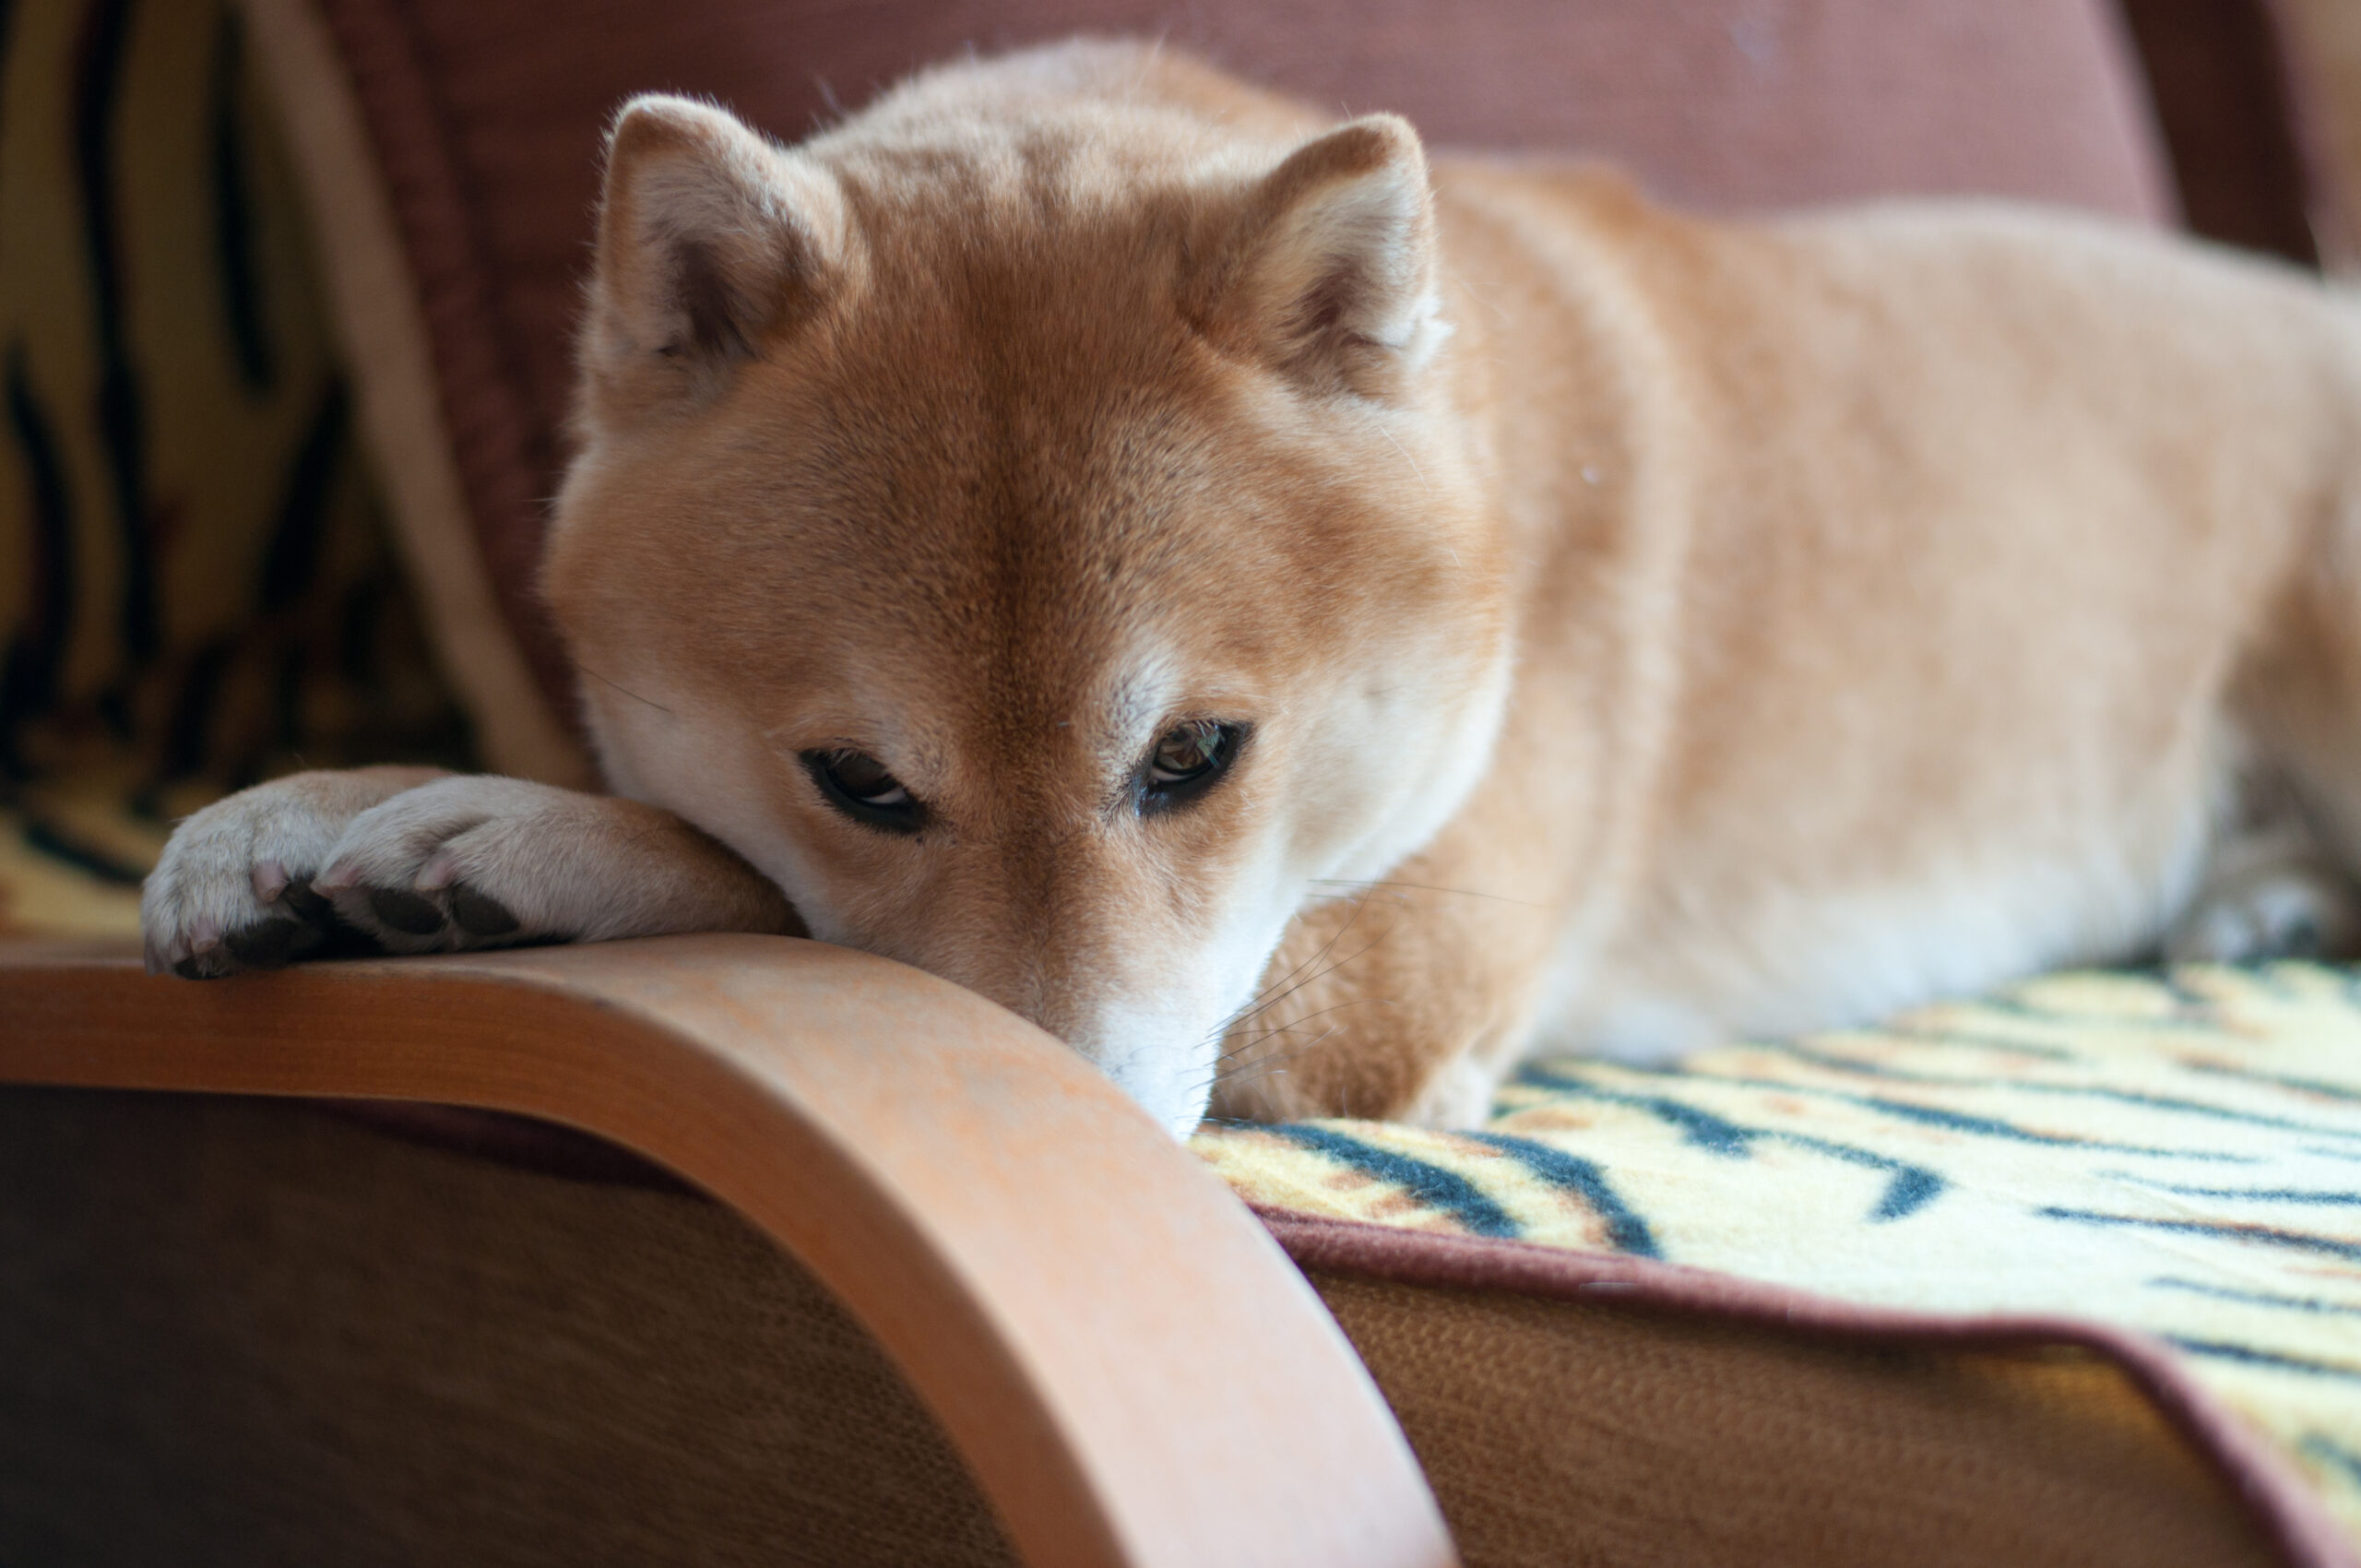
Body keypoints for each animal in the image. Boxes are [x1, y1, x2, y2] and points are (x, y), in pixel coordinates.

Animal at [137, 42, 2361, 1133]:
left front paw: (495, 834)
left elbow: (743, 891)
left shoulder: (1413, 964)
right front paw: (327, 813)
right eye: (861, 783)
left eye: (1196, 758)